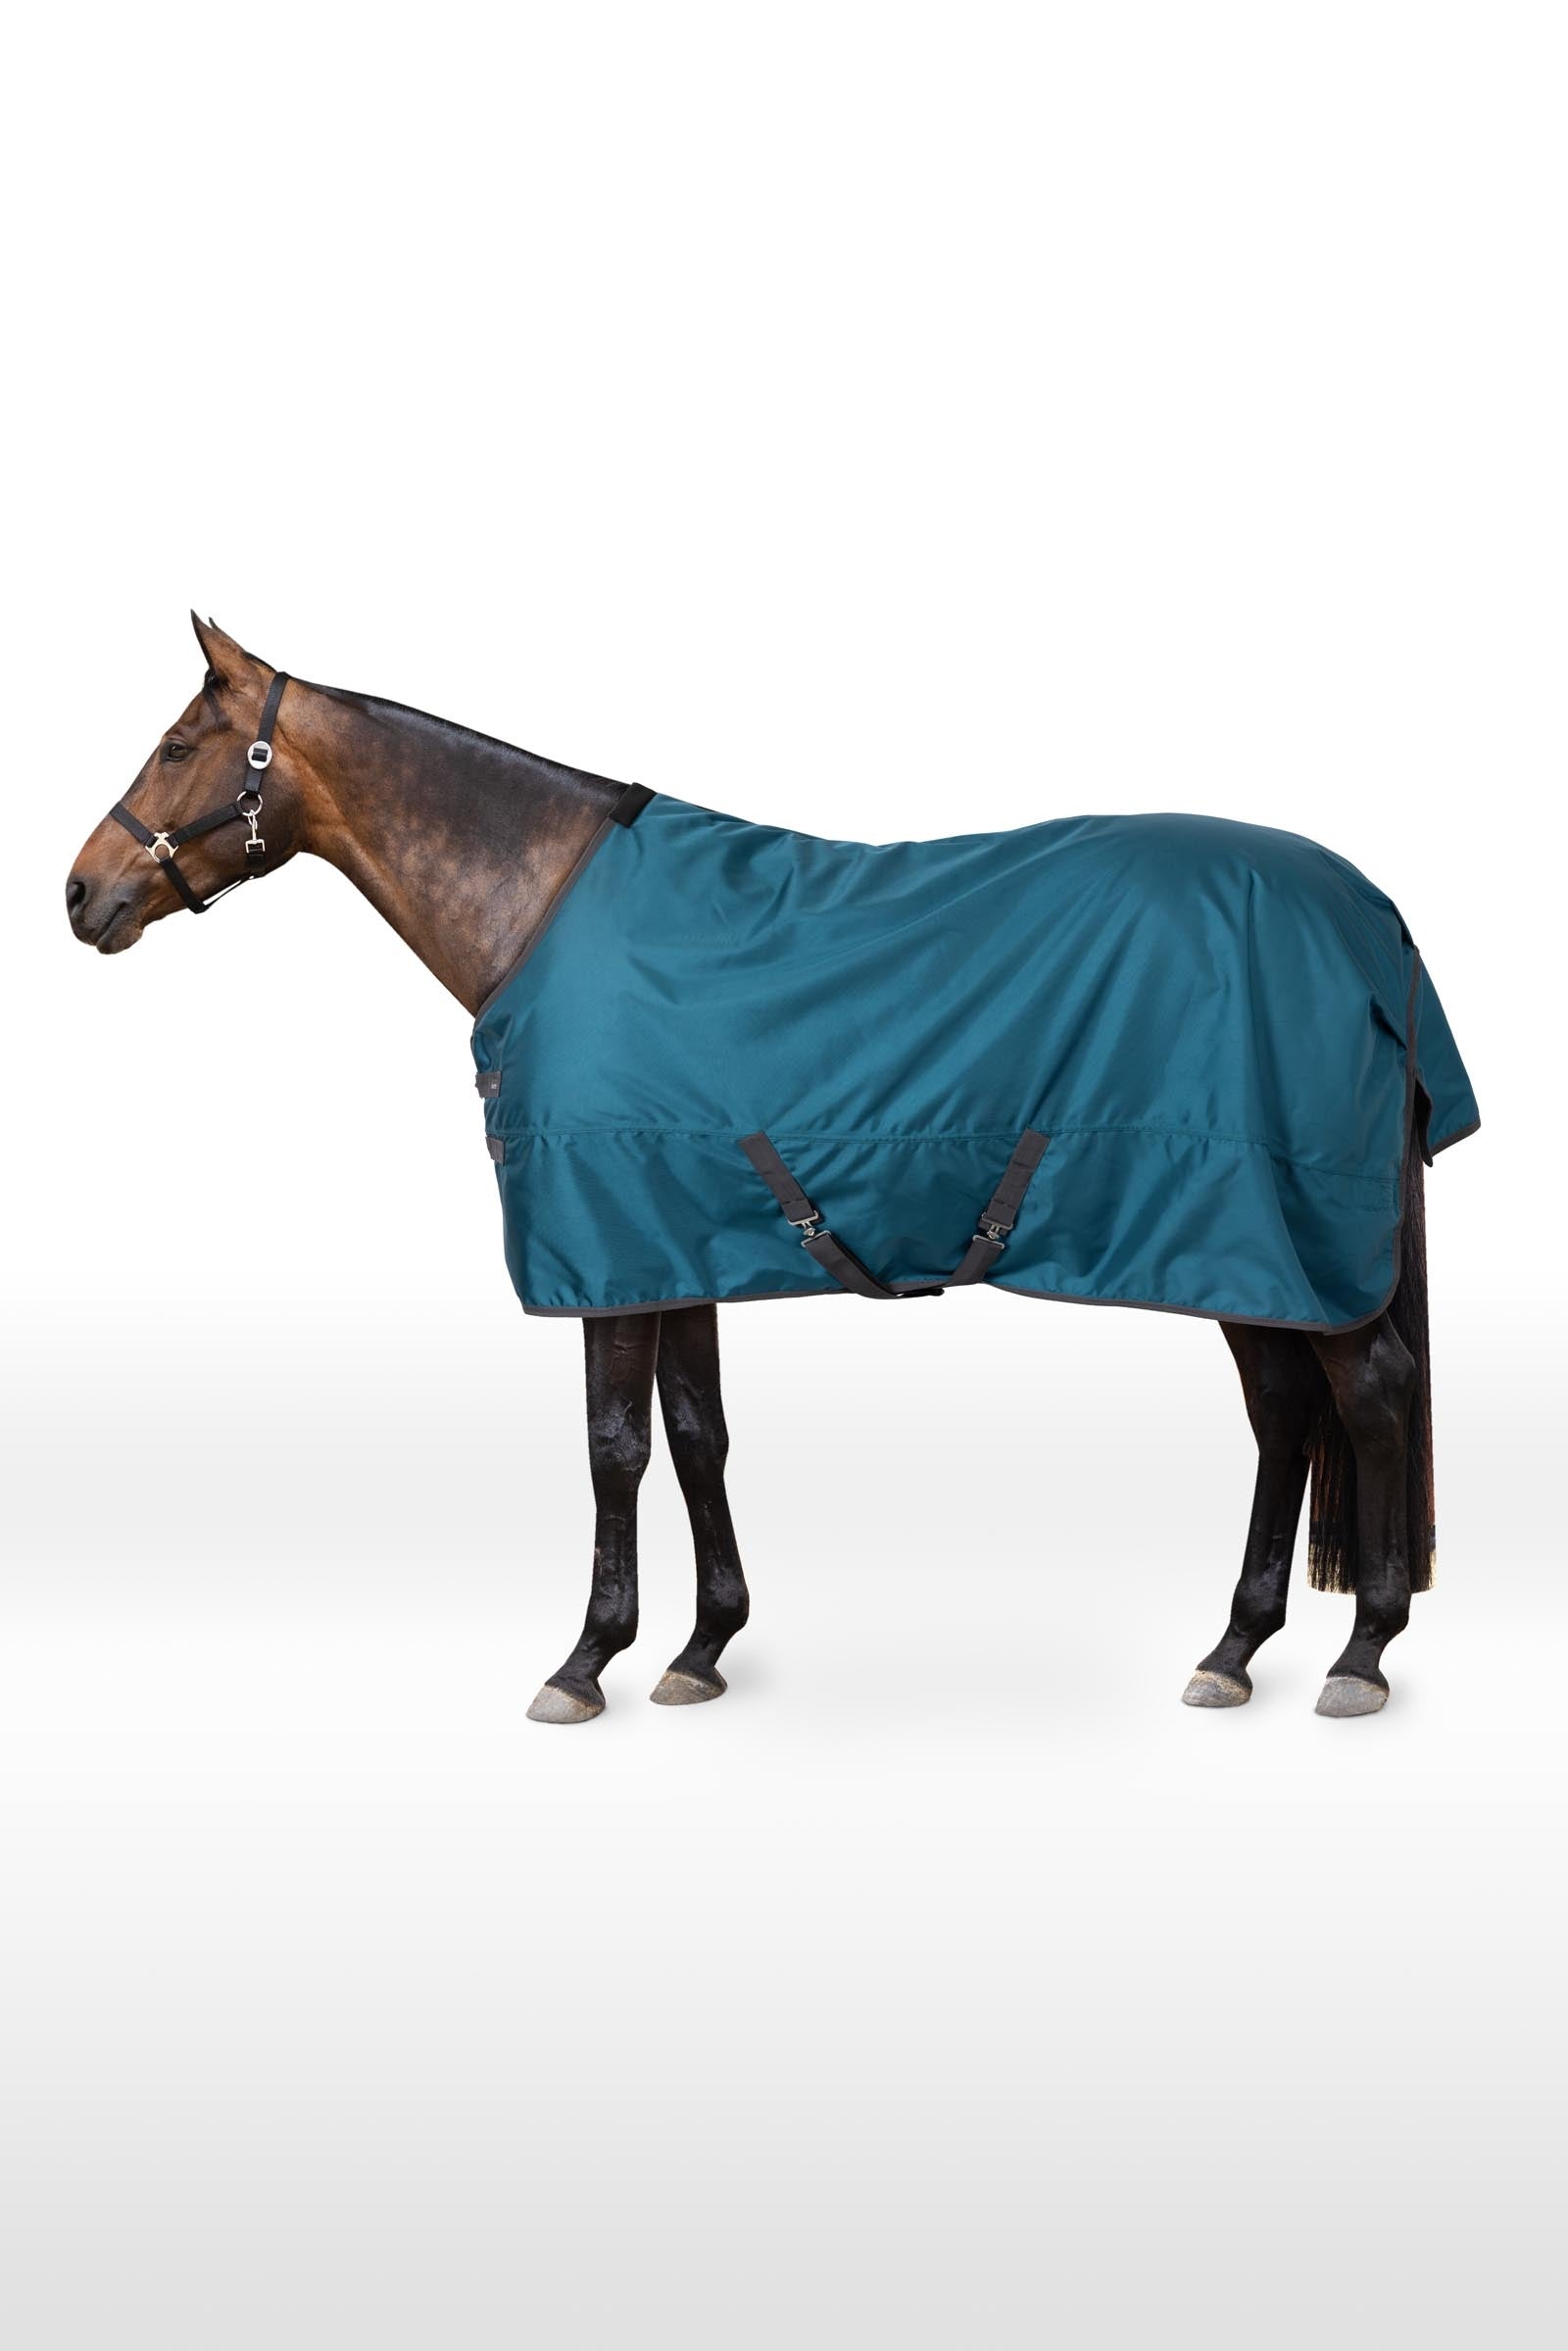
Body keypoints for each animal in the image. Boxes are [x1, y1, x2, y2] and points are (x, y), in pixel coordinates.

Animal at [66, 616, 1478, 1725]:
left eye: (179, 746)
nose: (81, 894)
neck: (543, 905)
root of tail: (1372, 915)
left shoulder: (611, 1252)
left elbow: (615, 1448)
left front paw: (586, 1659)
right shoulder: (672, 1236)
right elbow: (698, 1434)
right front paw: (701, 1646)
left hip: (1280, 1231)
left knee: (1369, 1395)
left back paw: (1362, 1650)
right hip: (1246, 1247)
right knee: (1287, 1413)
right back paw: (1236, 1646)